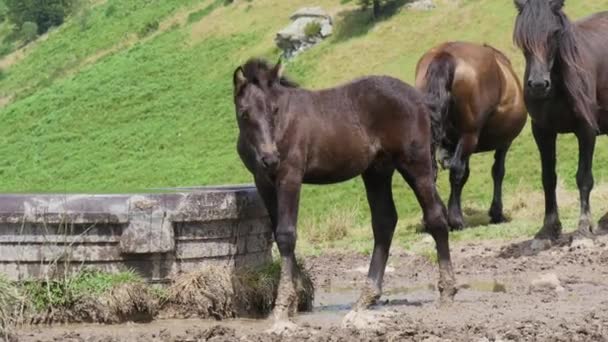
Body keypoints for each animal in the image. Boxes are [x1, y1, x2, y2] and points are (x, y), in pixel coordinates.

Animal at [233, 58, 456, 328]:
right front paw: (297, 297)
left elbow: (286, 234)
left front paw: (282, 306)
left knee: (435, 216)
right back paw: (365, 298)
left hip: (415, 163)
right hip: (377, 171)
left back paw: (447, 291)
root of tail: (420, 98)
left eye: (274, 110)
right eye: (244, 113)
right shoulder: (263, 182)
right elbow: (278, 234)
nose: (270, 158)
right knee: (384, 221)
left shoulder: (290, 176)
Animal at [414, 42, 528, 230]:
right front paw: (497, 213)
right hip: (470, 136)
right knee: (456, 170)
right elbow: (497, 172)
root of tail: (445, 55)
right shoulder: (504, 143)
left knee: (431, 172)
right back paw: (456, 219)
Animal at [512, 0, 608, 240]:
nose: (538, 85)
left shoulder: (586, 130)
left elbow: (584, 177)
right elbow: (548, 178)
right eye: (521, 36)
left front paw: (584, 226)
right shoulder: (542, 132)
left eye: (554, 33)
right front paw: (548, 228)